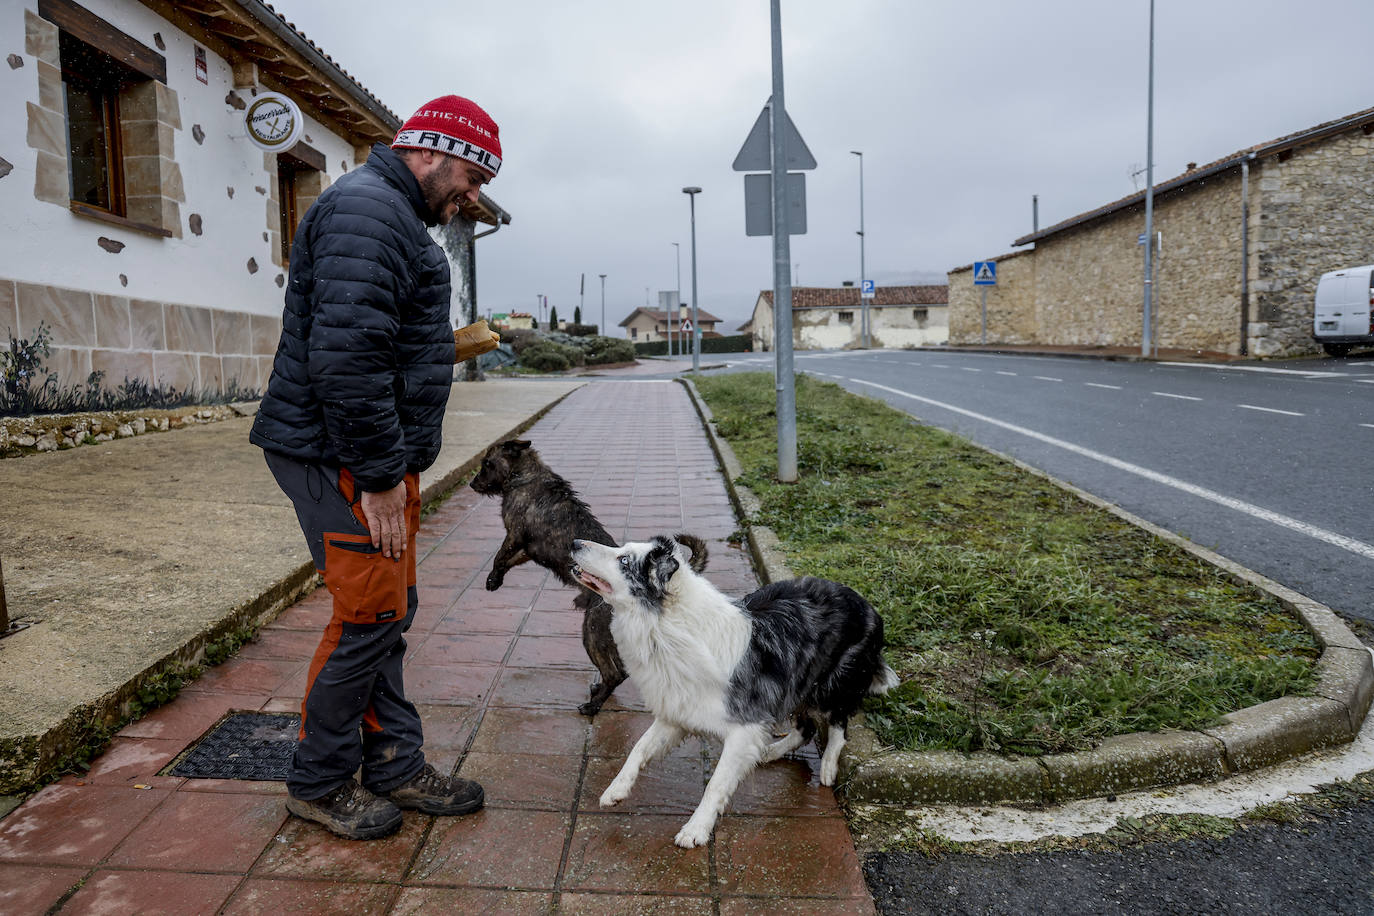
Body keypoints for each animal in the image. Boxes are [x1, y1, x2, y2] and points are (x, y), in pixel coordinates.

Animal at [472, 442, 708, 714]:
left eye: (487, 463)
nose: (472, 484)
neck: (526, 476)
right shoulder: (528, 549)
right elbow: (507, 561)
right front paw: (497, 579)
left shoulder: (514, 535)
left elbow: (499, 557)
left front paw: (492, 579)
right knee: (619, 672)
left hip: (592, 633)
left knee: (615, 674)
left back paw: (592, 706)